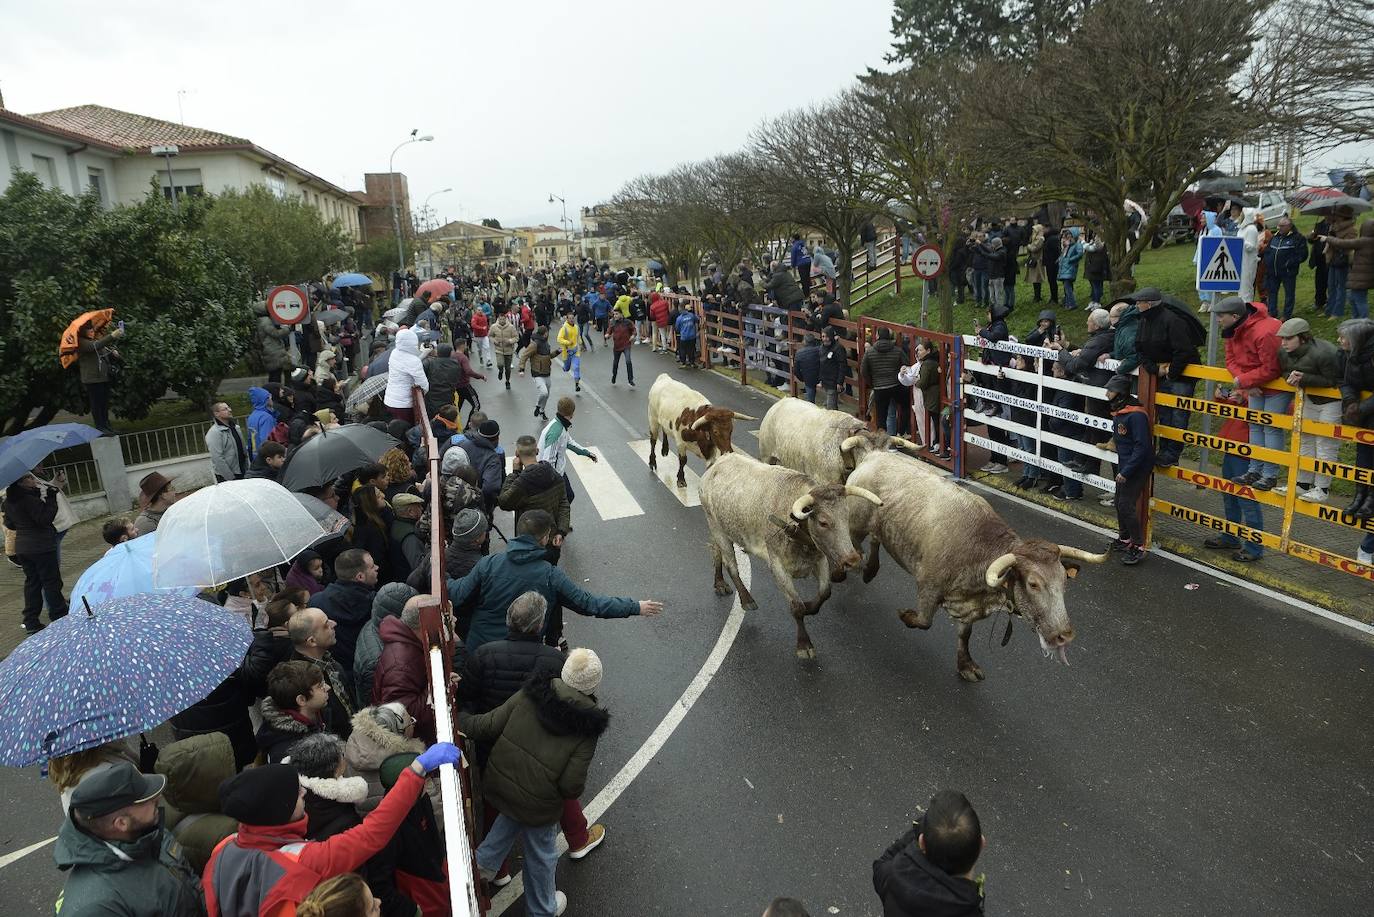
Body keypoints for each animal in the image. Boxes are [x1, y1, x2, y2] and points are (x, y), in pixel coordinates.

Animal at [703, 453, 884, 659]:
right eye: (823, 522)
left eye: (846, 516)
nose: (852, 560)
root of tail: (718, 462)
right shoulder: (777, 566)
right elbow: (796, 606)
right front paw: (804, 644)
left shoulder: (820, 559)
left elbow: (824, 592)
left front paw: (810, 606)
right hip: (717, 528)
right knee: (731, 565)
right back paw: (747, 600)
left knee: (715, 551)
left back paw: (719, 583)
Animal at [840, 450, 1110, 681]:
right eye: (1033, 584)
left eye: (1064, 582)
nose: (1065, 635)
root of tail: (872, 454)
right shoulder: (928, 586)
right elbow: (924, 621)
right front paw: (906, 616)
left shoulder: (968, 607)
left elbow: (964, 636)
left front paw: (965, 665)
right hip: (856, 523)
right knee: (854, 544)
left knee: (875, 540)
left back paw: (870, 570)